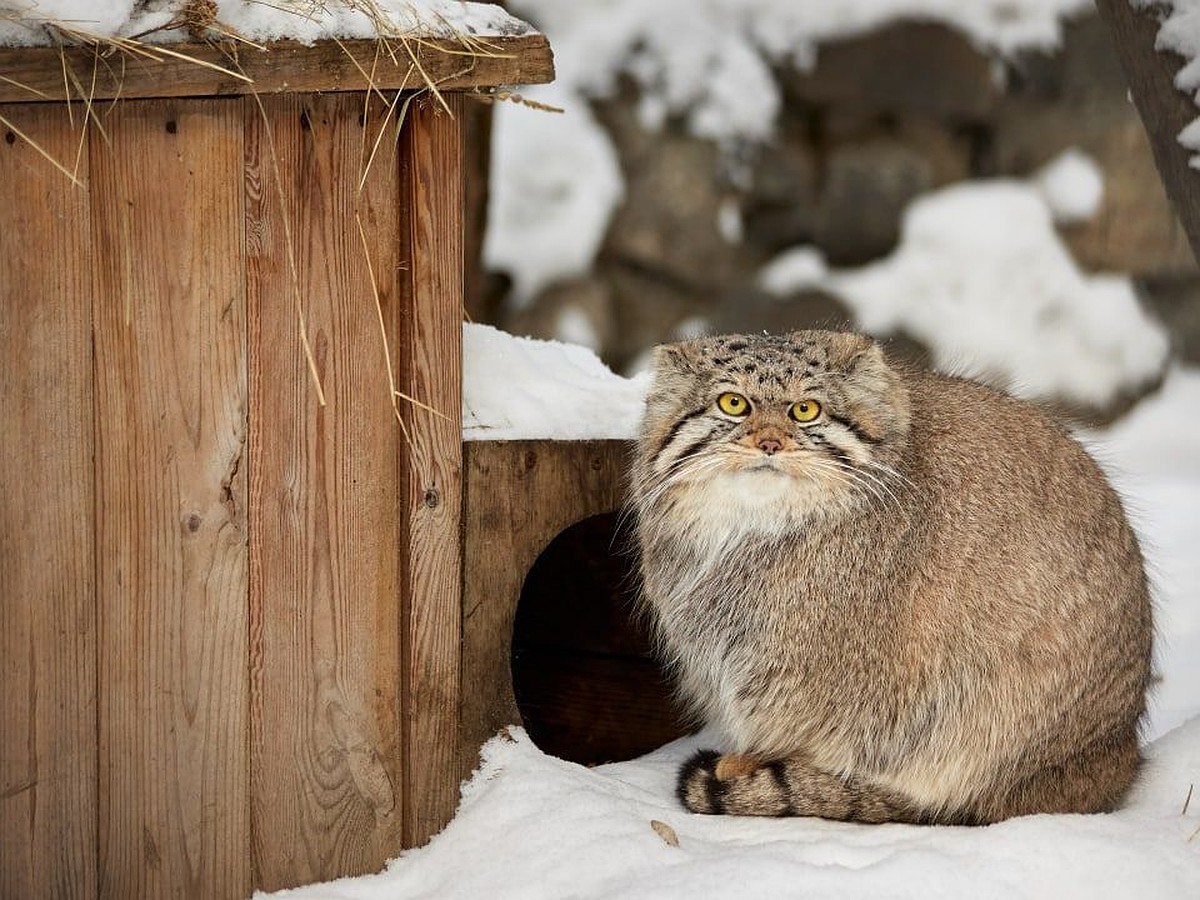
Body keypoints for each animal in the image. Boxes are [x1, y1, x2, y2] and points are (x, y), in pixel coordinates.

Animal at [633, 331, 1156, 825]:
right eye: (733, 403)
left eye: (806, 410)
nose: (770, 444)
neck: (752, 529)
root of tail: (1118, 755)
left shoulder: (814, 669)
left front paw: (747, 765)